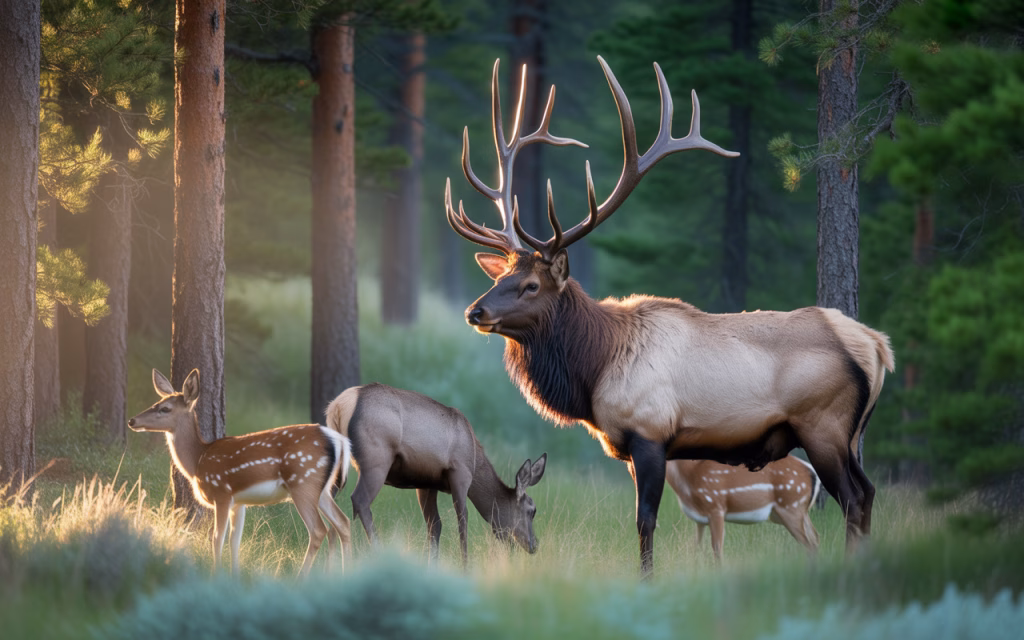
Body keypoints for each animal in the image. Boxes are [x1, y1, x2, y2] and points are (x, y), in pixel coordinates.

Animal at [128, 369, 353, 576]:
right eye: (157, 402)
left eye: (165, 409)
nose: (132, 421)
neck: (198, 460)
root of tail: (339, 441)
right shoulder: (240, 502)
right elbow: (234, 540)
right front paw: (233, 576)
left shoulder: (221, 492)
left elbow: (217, 538)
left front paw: (215, 575)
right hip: (322, 490)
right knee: (343, 523)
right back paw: (343, 573)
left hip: (303, 482)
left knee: (319, 530)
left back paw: (301, 578)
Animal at [326, 383, 547, 567]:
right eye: (532, 509)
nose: (534, 545)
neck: (476, 462)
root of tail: (337, 407)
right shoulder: (460, 474)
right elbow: (462, 521)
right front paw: (465, 566)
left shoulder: (425, 483)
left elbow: (435, 525)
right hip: (376, 461)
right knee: (359, 500)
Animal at [666, 455, 821, 562]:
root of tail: (811, 471)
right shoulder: (700, 519)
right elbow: (696, 547)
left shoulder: (716, 507)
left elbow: (717, 550)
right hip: (797, 511)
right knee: (815, 538)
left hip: (791, 506)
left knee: (809, 544)